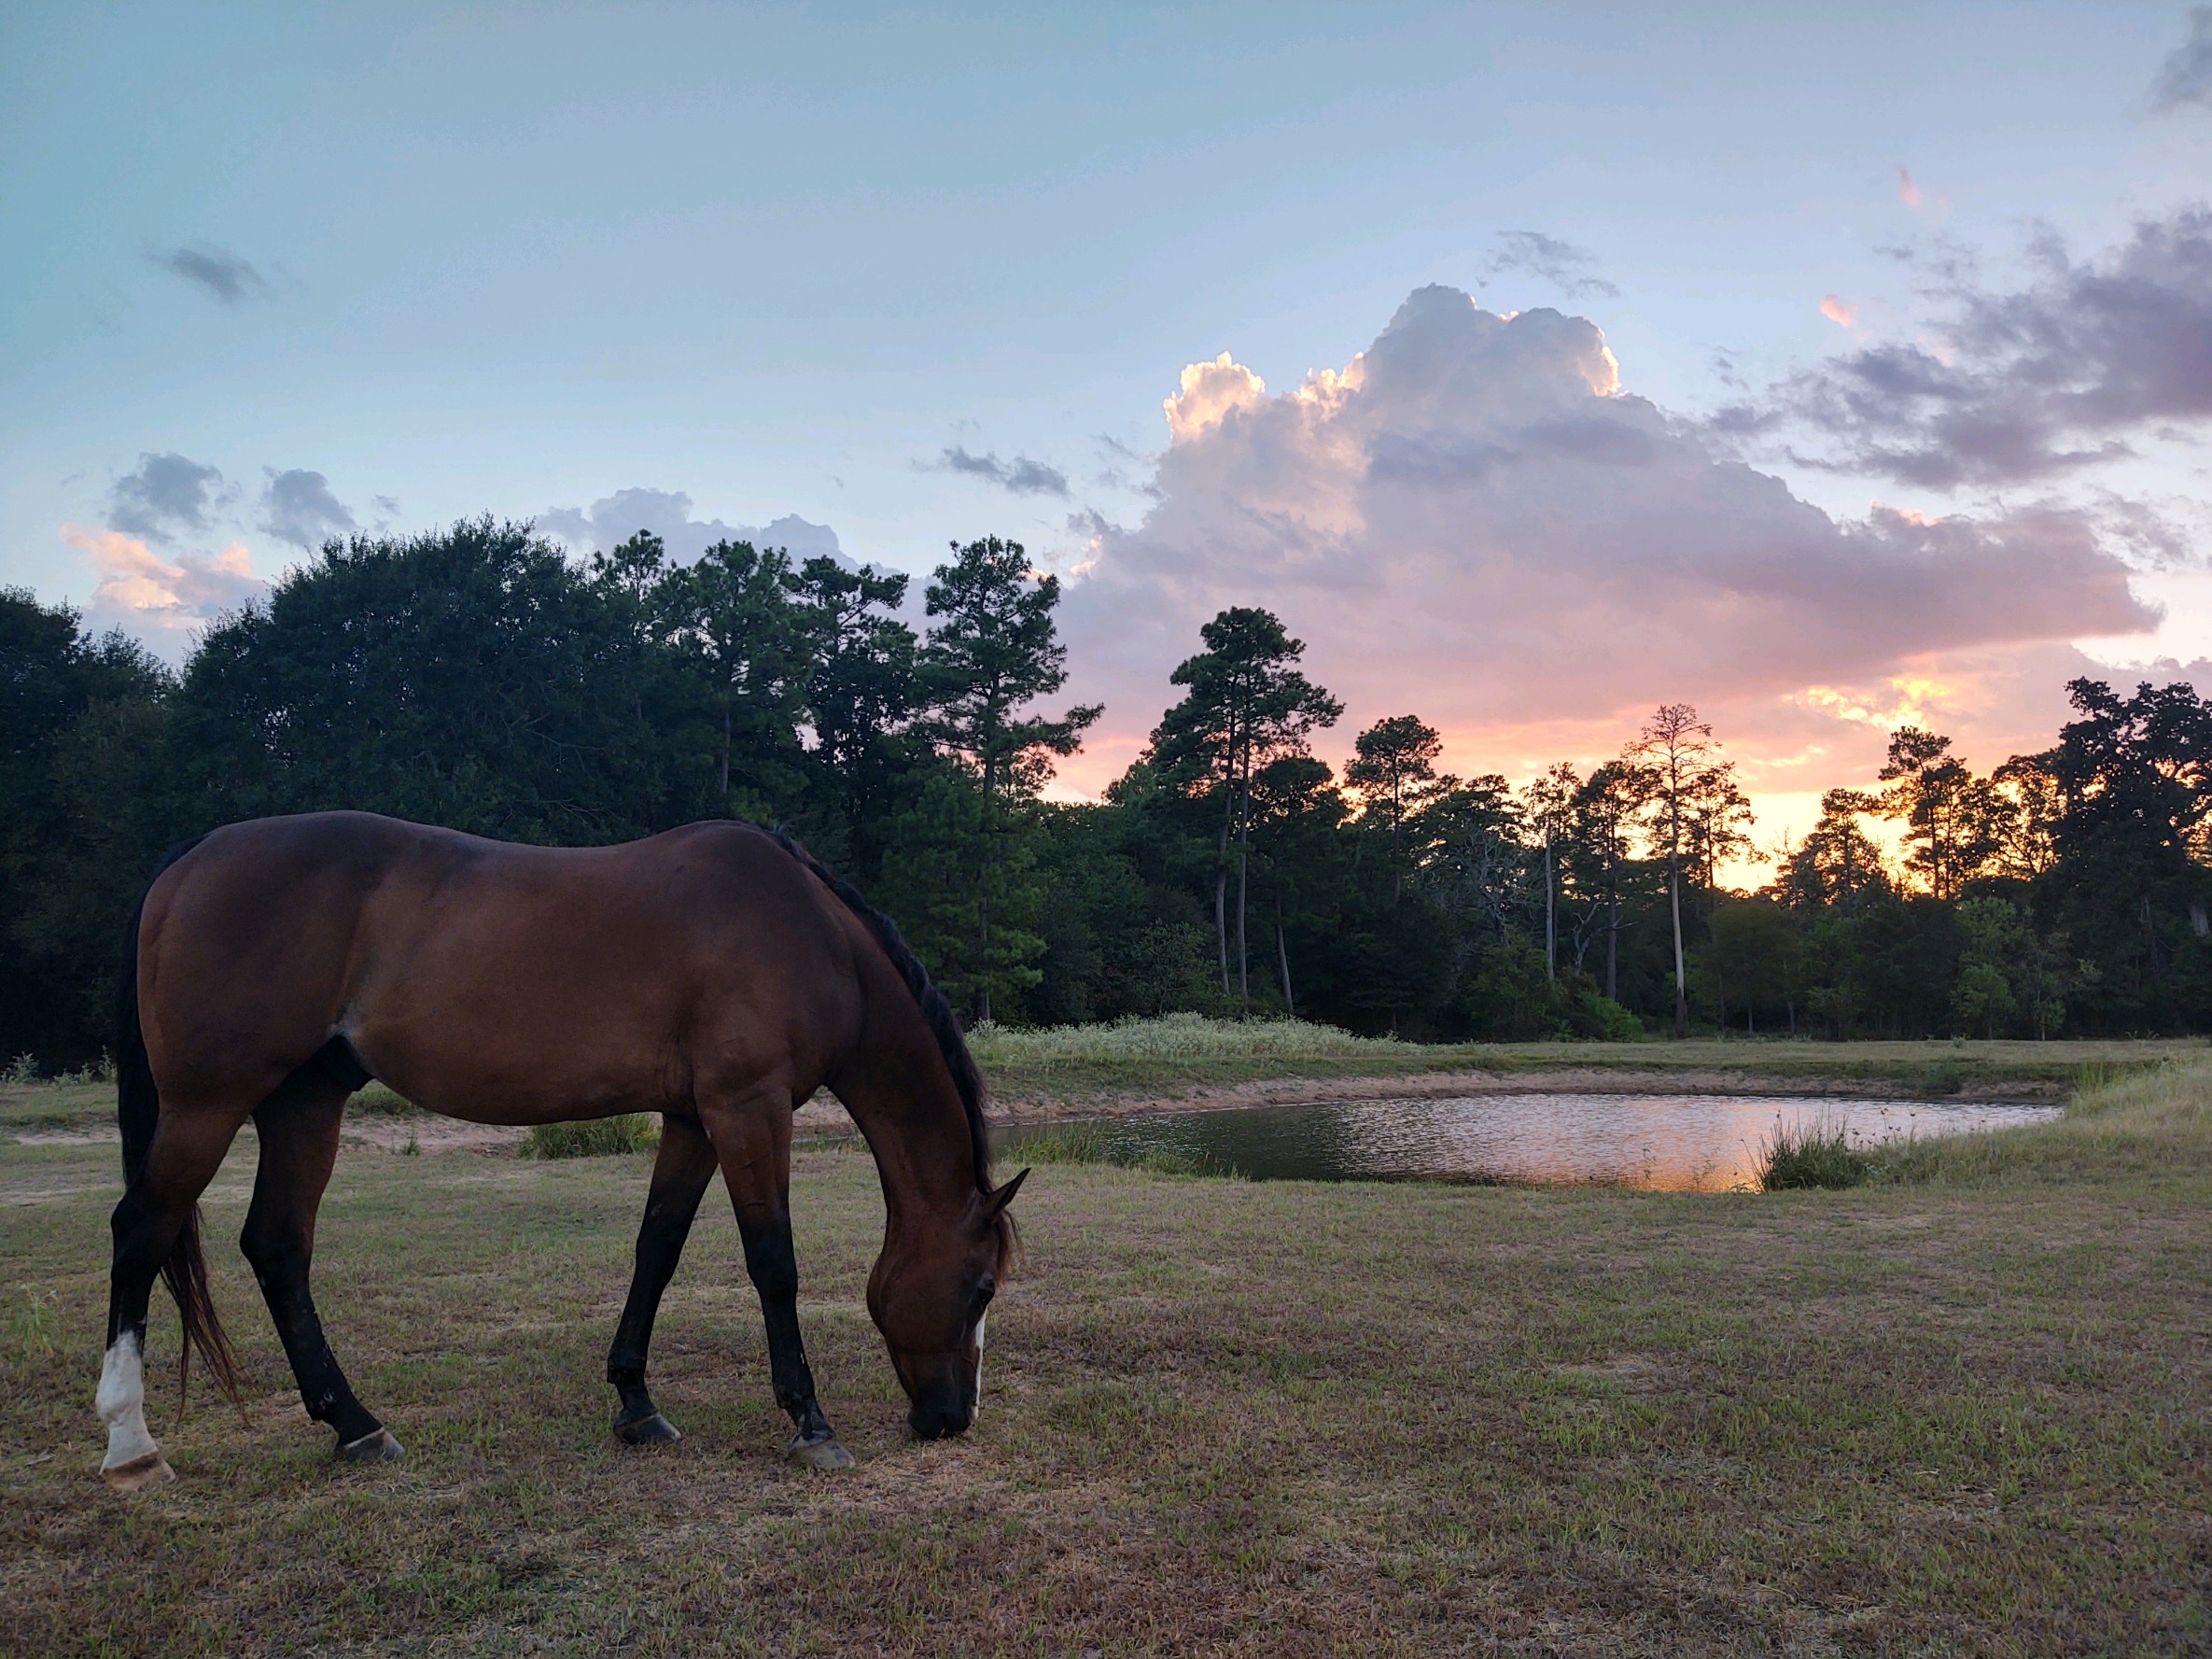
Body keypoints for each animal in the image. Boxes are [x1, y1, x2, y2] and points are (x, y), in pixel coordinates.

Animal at [96, 810, 1026, 1493]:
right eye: (981, 1287)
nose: (954, 1419)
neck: (811, 935)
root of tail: (189, 860)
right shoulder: (748, 1110)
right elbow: (774, 1263)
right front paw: (810, 1422)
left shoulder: (693, 1120)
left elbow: (658, 1248)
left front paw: (637, 1404)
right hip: (205, 1106)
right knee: (142, 1232)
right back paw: (132, 1446)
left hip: (304, 1102)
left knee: (278, 1247)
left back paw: (355, 1425)